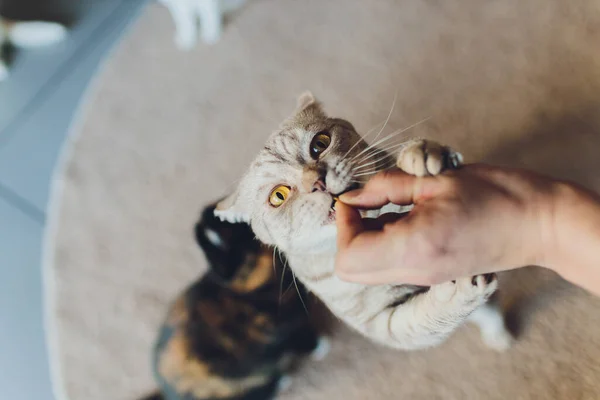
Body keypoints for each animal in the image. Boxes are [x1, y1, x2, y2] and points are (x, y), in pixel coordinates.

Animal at [216, 93, 510, 350]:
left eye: (319, 144)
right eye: (278, 196)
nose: (318, 182)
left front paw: (421, 154)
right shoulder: (383, 324)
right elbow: (429, 317)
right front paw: (461, 292)